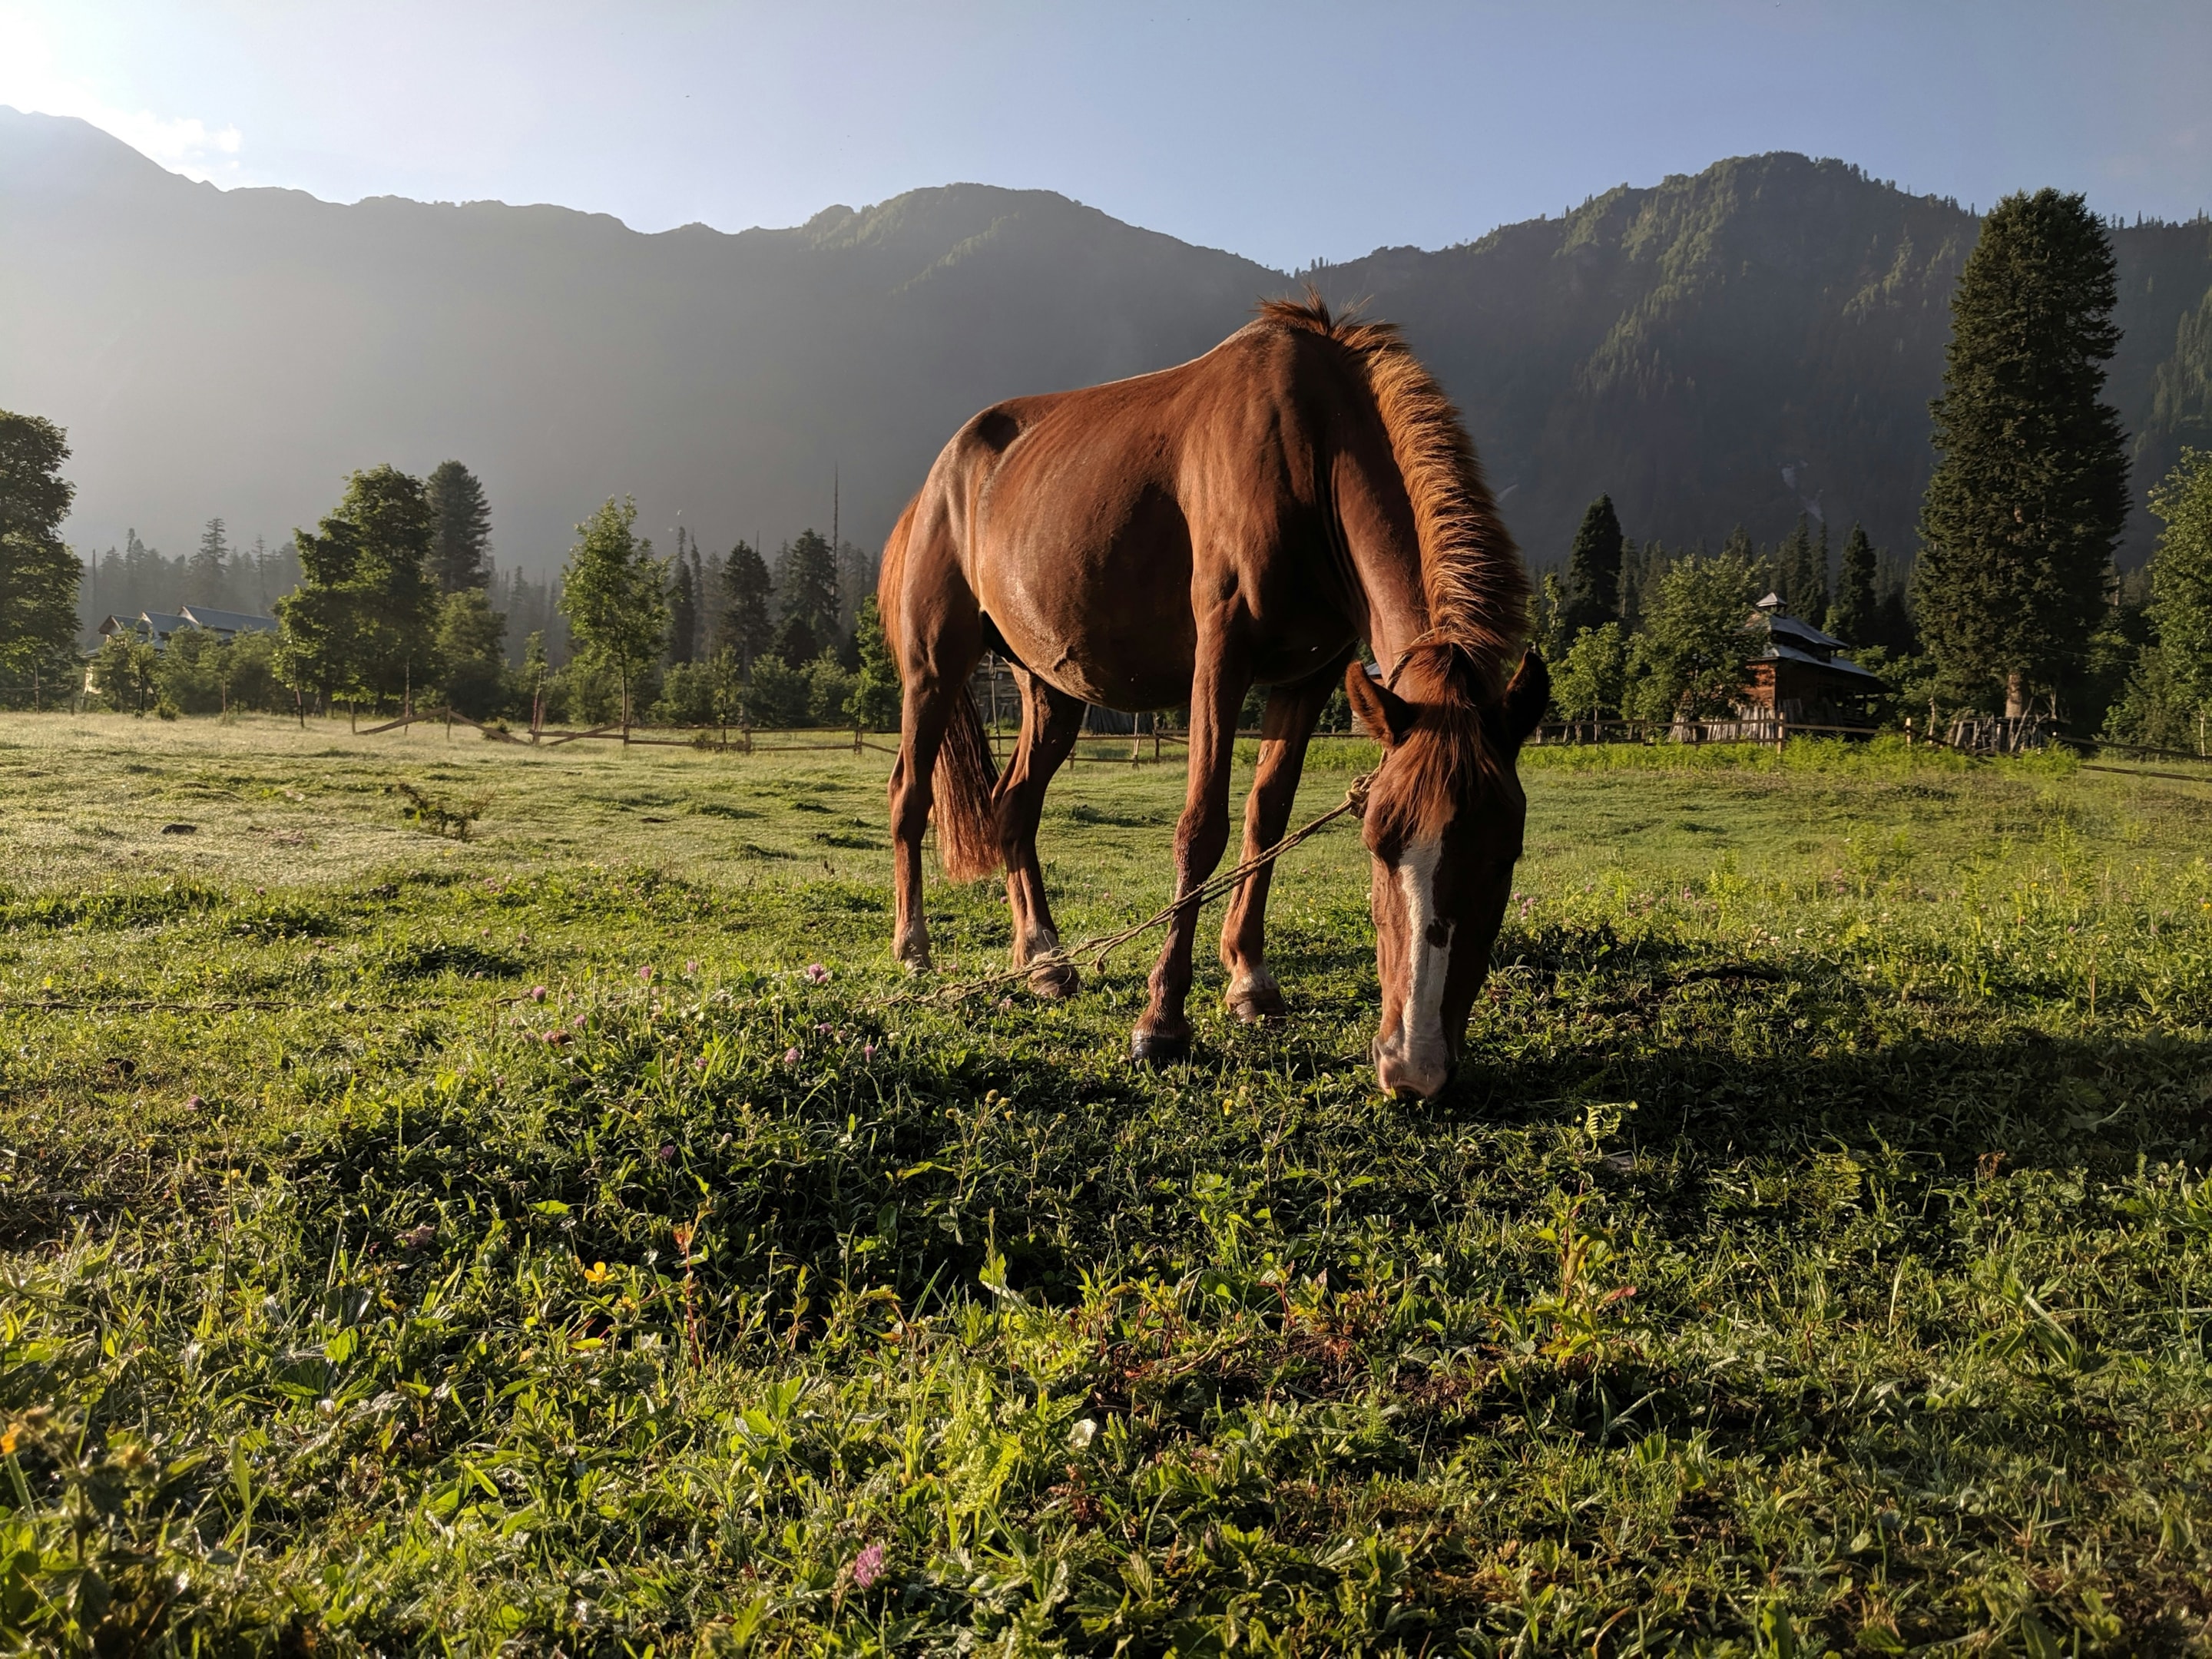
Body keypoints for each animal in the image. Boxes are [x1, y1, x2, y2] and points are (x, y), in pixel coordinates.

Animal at [876, 295, 1548, 1098]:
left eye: (1506, 853)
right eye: (1379, 844)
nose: (1414, 1066)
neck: (1309, 448)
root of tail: (936, 481)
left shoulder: (1310, 674)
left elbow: (1267, 820)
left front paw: (1249, 979)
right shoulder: (1221, 652)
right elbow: (1203, 829)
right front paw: (1161, 1022)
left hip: (1050, 689)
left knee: (1014, 807)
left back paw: (1042, 959)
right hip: (934, 669)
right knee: (910, 796)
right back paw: (914, 950)